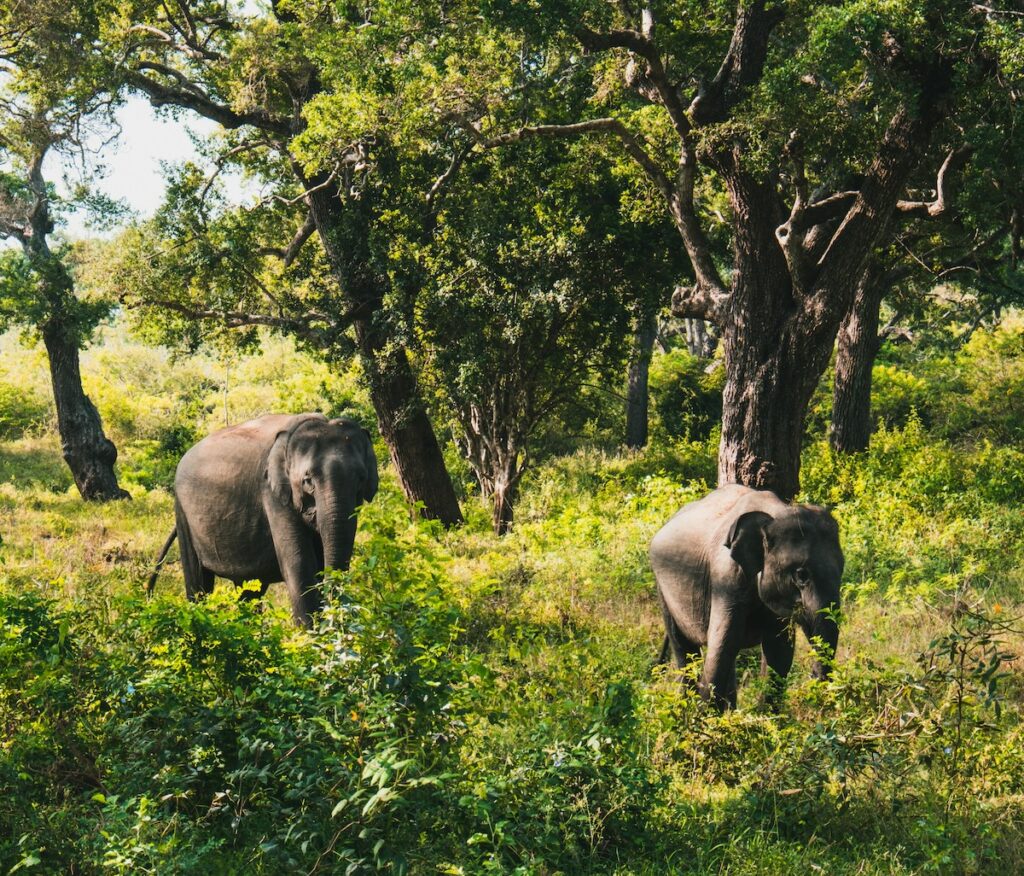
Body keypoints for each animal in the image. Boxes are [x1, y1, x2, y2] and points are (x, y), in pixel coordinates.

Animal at [147, 413, 378, 627]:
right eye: (307, 480)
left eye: (361, 478)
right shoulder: (272, 494)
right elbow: (300, 564)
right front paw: (311, 639)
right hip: (182, 513)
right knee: (198, 581)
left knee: (249, 591)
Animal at [649, 484, 843, 710]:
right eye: (801, 575)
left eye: (842, 570)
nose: (812, 678)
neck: (776, 513)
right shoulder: (726, 579)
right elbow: (722, 644)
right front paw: (707, 717)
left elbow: (779, 651)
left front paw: (767, 717)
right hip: (663, 588)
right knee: (683, 647)